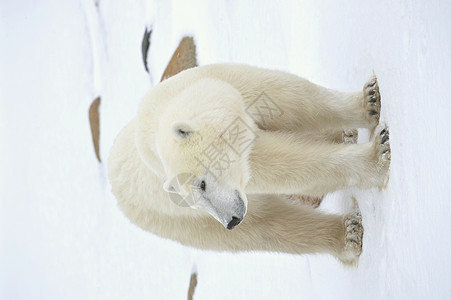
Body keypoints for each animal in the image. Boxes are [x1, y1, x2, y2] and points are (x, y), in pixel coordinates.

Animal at [109, 63, 392, 264]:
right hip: (177, 221)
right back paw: (349, 235)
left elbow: (294, 99)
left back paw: (343, 135)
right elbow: (280, 165)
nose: (231, 221)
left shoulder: (230, 85)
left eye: (202, 184)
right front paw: (378, 155)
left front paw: (369, 101)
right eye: (192, 200)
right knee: (269, 227)